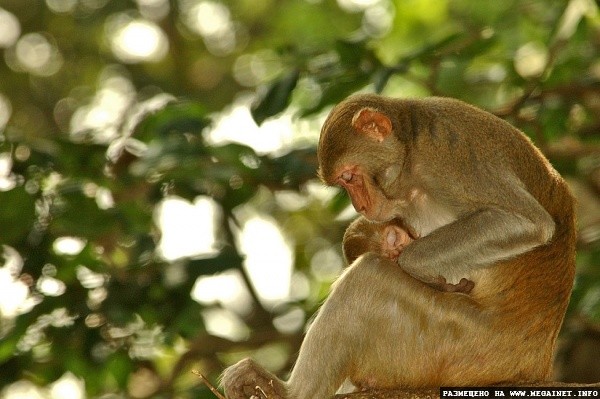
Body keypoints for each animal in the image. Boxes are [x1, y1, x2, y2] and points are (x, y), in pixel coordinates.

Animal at [220, 94, 576, 399]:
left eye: (349, 177)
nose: (360, 205)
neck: (410, 147)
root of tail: (536, 362)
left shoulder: (448, 156)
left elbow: (526, 222)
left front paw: (415, 265)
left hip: (460, 346)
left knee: (367, 277)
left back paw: (289, 392)